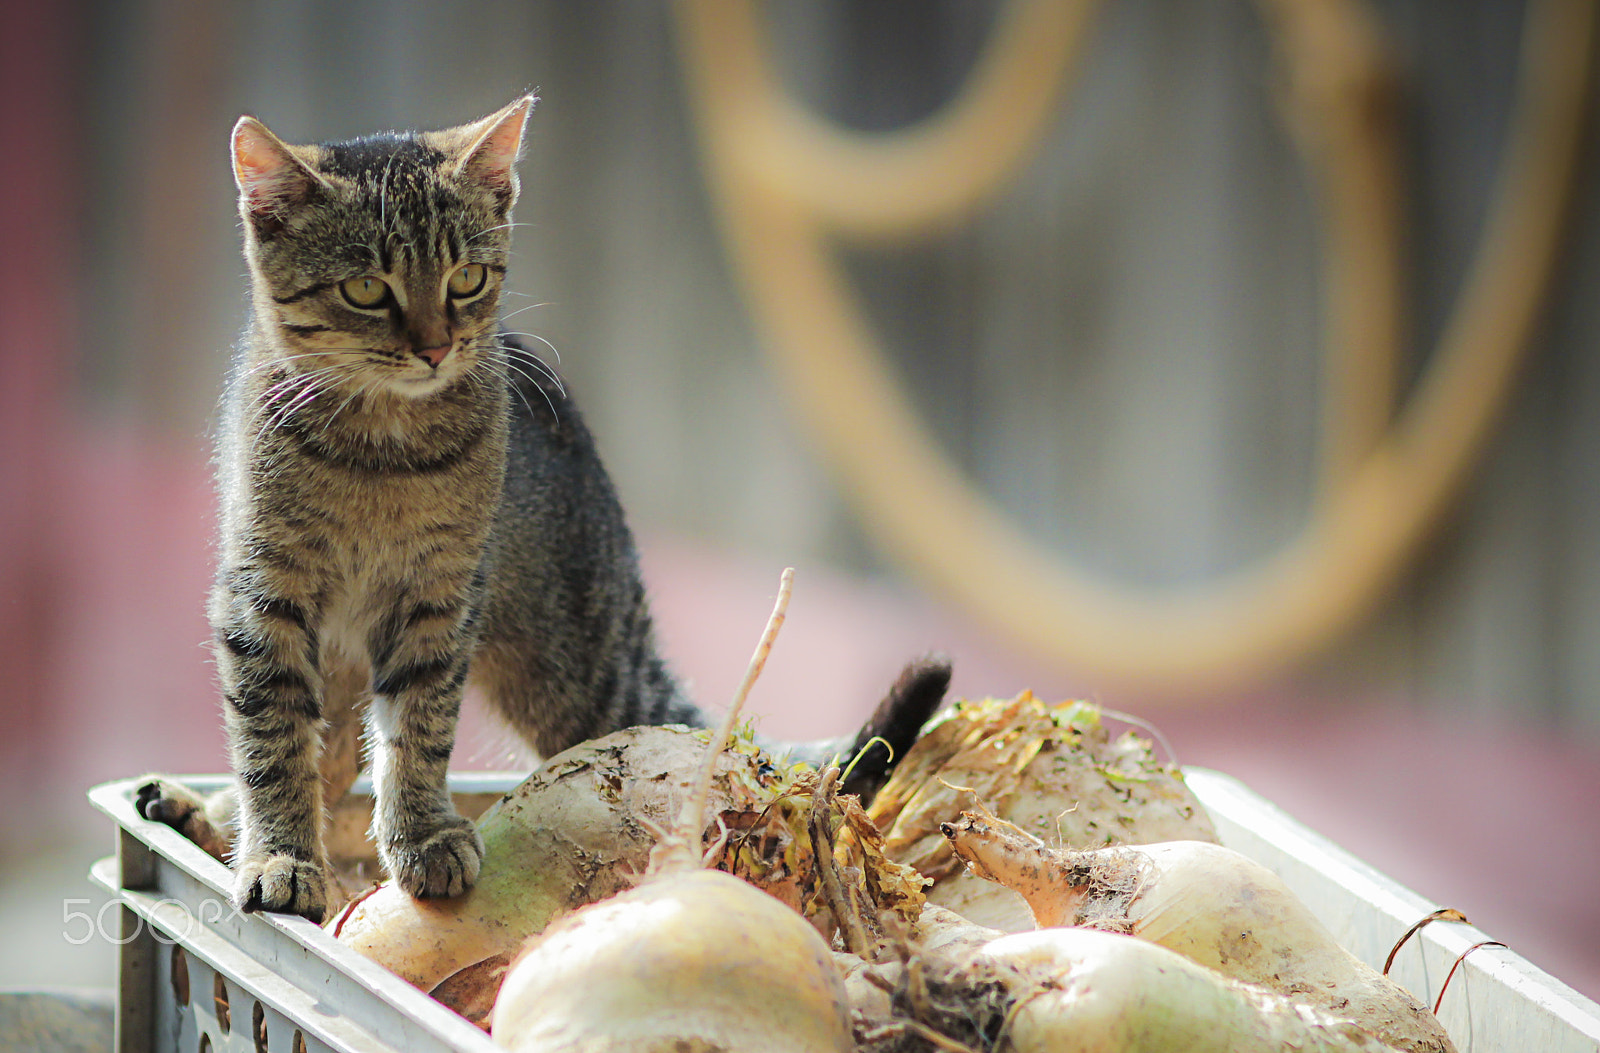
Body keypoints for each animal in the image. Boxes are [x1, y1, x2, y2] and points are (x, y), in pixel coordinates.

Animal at [137, 98, 940, 921]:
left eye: (466, 278)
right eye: (365, 289)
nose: (435, 347)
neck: (381, 454)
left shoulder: (440, 598)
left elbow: (416, 729)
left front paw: (420, 833)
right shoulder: (262, 594)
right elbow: (271, 737)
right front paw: (281, 854)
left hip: (576, 676)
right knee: (316, 741)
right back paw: (210, 813)